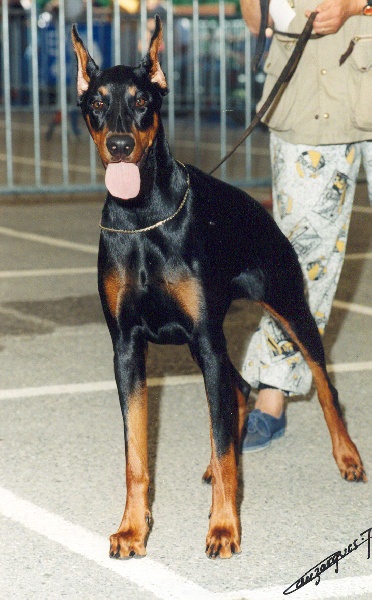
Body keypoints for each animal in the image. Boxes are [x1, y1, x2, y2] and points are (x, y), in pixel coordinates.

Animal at [72, 19, 366, 564]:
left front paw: (224, 528)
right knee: (240, 392)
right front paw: (132, 529)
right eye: (97, 101)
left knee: (322, 385)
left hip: (287, 308)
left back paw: (348, 457)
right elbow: (137, 454)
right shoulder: (127, 346)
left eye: (142, 100)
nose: (120, 145)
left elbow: (226, 437)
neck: (142, 219)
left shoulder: (206, 338)